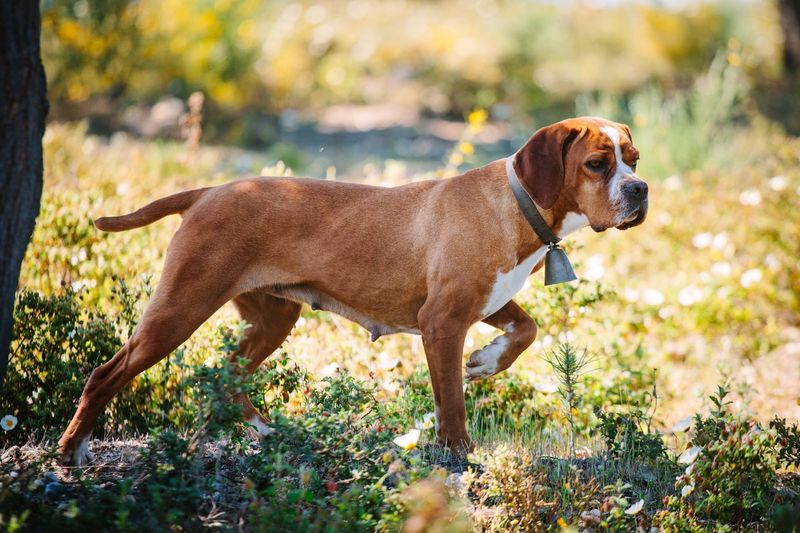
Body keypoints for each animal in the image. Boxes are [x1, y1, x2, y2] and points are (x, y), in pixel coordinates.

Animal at [61, 114, 648, 464]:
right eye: (598, 164)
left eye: (635, 161)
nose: (641, 189)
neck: (519, 203)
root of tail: (208, 191)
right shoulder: (441, 322)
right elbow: (453, 400)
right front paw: (458, 451)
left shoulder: (482, 304)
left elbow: (526, 329)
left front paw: (486, 361)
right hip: (179, 309)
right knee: (105, 374)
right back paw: (71, 450)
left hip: (273, 319)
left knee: (226, 374)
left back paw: (262, 433)